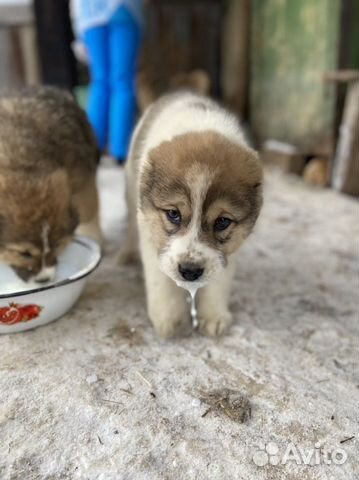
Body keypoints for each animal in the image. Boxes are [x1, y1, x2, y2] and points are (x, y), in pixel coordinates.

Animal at [119, 90, 262, 338]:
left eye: (222, 221)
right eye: (173, 214)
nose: (189, 272)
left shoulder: (227, 252)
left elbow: (218, 283)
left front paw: (214, 316)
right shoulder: (152, 236)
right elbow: (161, 282)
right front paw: (169, 319)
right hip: (130, 191)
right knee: (129, 229)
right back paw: (127, 254)